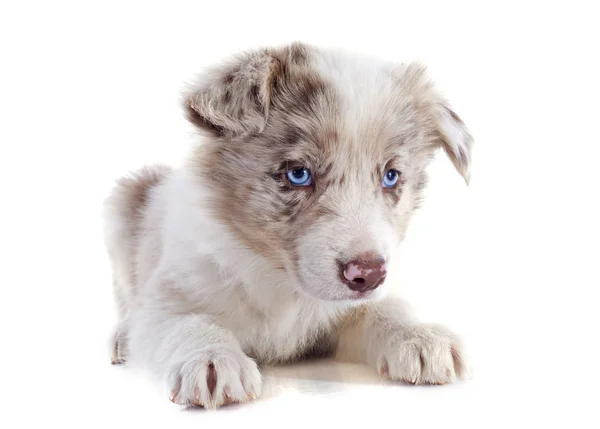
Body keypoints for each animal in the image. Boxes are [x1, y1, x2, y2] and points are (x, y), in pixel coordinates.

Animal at [105, 42, 476, 408]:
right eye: (298, 174)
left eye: (391, 176)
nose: (368, 274)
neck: (282, 284)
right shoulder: (169, 293)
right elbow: (184, 322)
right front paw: (212, 358)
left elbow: (382, 308)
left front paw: (419, 335)